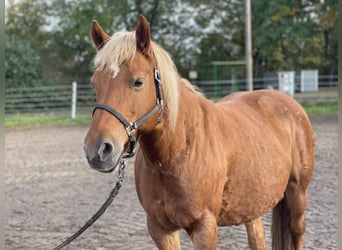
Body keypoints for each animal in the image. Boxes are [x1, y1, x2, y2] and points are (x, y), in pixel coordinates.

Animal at [83, 15, 316, 250]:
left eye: (138, 81)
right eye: (95, 84)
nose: (97, 150)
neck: (177, 153)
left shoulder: (205, 227)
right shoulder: (160, 229)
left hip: (297, 196)